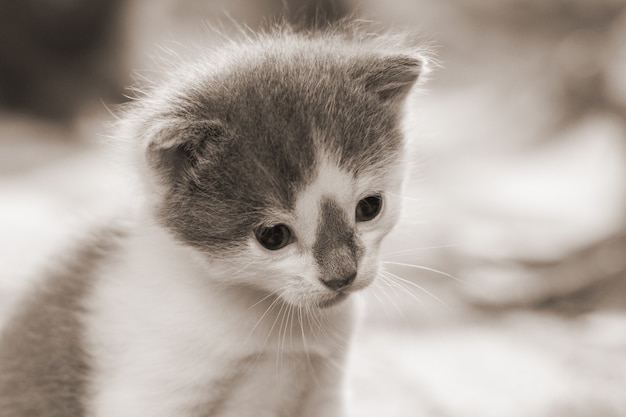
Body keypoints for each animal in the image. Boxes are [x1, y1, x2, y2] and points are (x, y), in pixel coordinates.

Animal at [0, 24, 424, 414]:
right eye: (273, 236)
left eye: (368, 208)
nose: (342, 276)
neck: (275, 323)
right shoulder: (150, 393)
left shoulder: (325, 390)